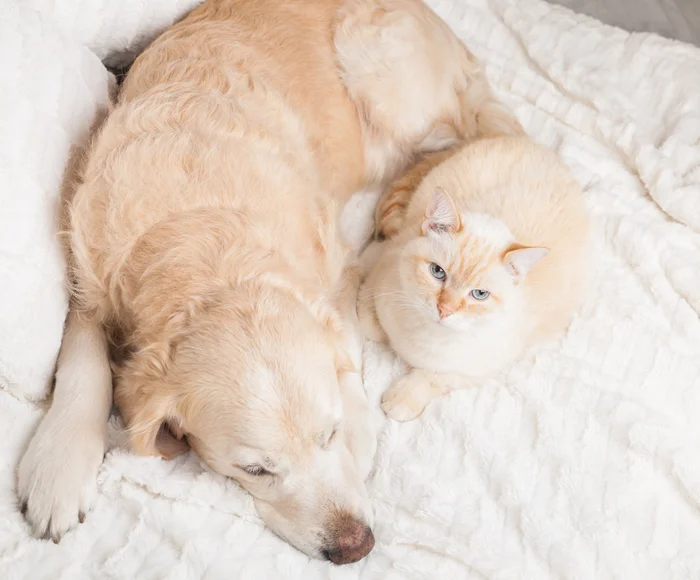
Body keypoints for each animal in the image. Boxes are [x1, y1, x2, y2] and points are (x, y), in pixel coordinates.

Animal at [16, 0, 524, 564]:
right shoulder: (89, 271)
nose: (355, 546)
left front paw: (360, 425)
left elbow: (345, 348)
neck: (203, 241)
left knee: (473, 134)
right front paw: (59, 466)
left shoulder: (335, 267)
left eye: (329, 434)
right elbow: (82, 361)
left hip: (383, 75)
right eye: (255, 469)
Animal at [360, 136, 592, 422]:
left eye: (479, 295)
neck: (426, 336)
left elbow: (434, 378)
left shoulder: (483, 367)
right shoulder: (383, 267)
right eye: (438, 272)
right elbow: (370, 324)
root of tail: (532, 143)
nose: (444, 309)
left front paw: (402, 399)